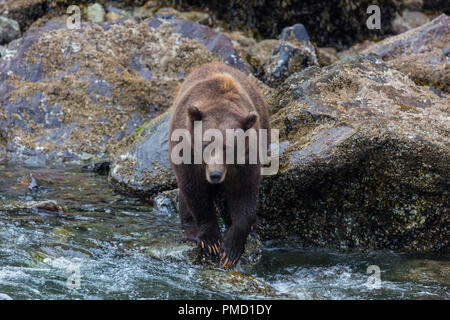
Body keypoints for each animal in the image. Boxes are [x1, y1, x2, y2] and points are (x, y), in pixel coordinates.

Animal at [168, 62, 268, 268]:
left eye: (229, 147)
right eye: (206, 144)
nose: (215, 175)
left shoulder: (246, 161)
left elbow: (244, 195)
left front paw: (231, 249)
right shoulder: (188, 156)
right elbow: (196, 193)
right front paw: (211, 240)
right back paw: (189, 231)